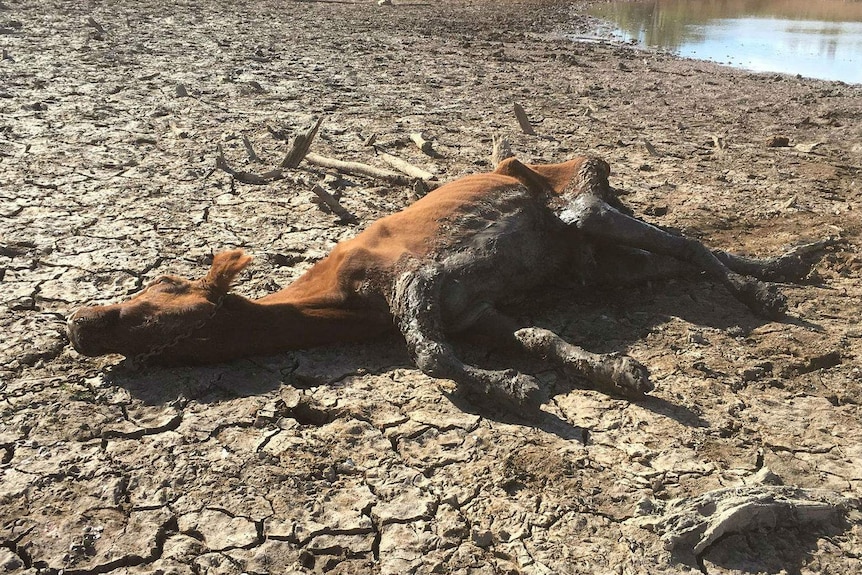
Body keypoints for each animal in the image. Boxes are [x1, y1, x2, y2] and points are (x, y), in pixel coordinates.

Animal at [67, 158, 824, 410]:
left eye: (157, 297)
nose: (77, 323)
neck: (341, 297)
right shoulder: (474, 310)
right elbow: (539, 337)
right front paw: (610, 371)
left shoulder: (422, 279)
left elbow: (428, 355)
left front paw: (511, 389)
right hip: (600, 260)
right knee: (685, 255)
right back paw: (790, 262)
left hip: (584, 209)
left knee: (686, 243)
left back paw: (768, 292)